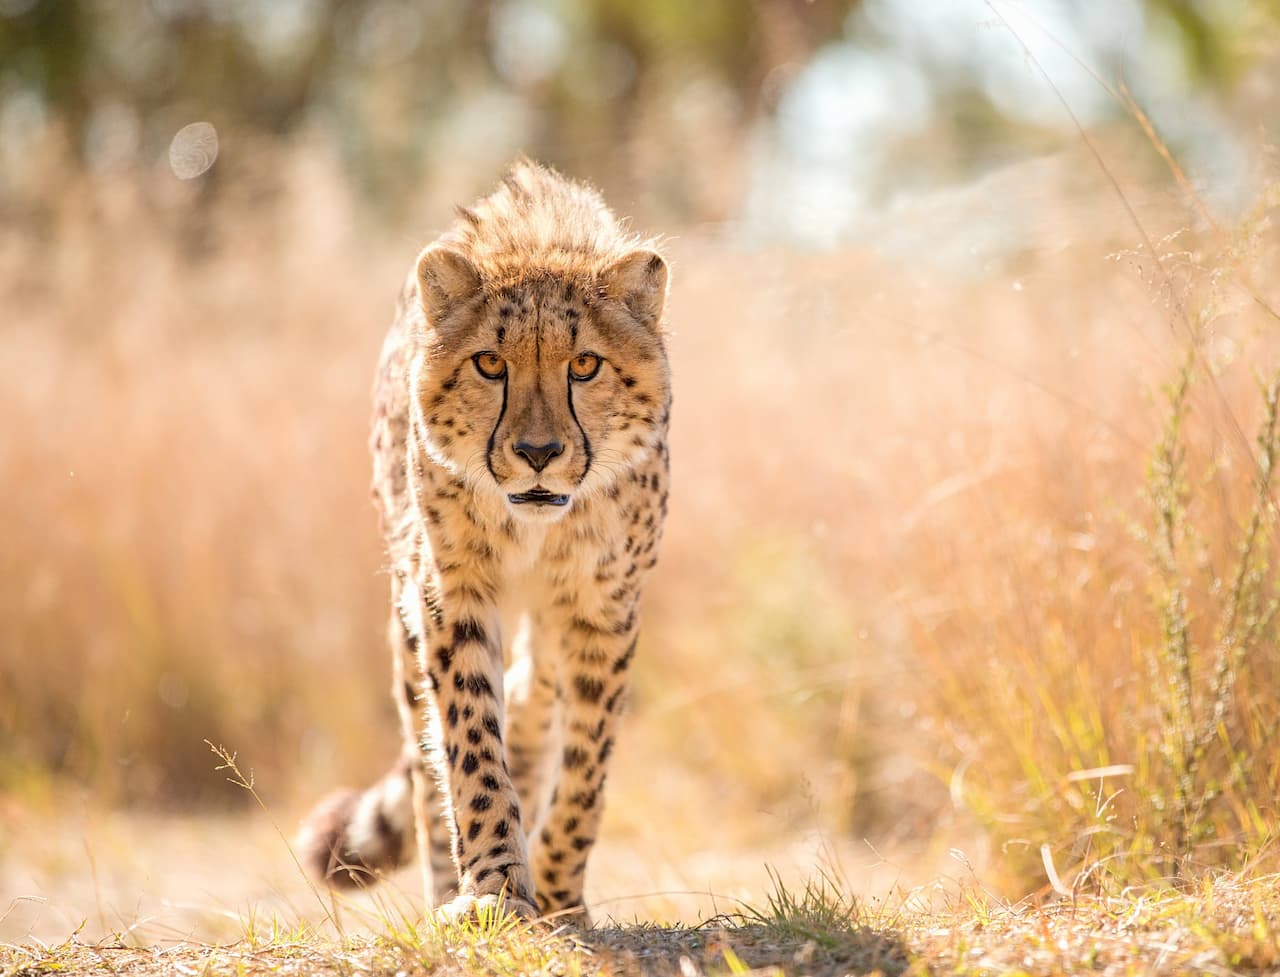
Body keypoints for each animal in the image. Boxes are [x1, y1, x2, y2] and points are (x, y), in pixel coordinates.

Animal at [296, 160, 671, 924]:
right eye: (490, 364)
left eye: (585, 365)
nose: (537, 452)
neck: (537, 527)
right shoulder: (448, 587)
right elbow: (468, 741)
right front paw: (495, 885)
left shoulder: (603, 608)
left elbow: (586, 766)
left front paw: (559, 892)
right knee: (426, 755)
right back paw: (451, 885)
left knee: (532, 699)